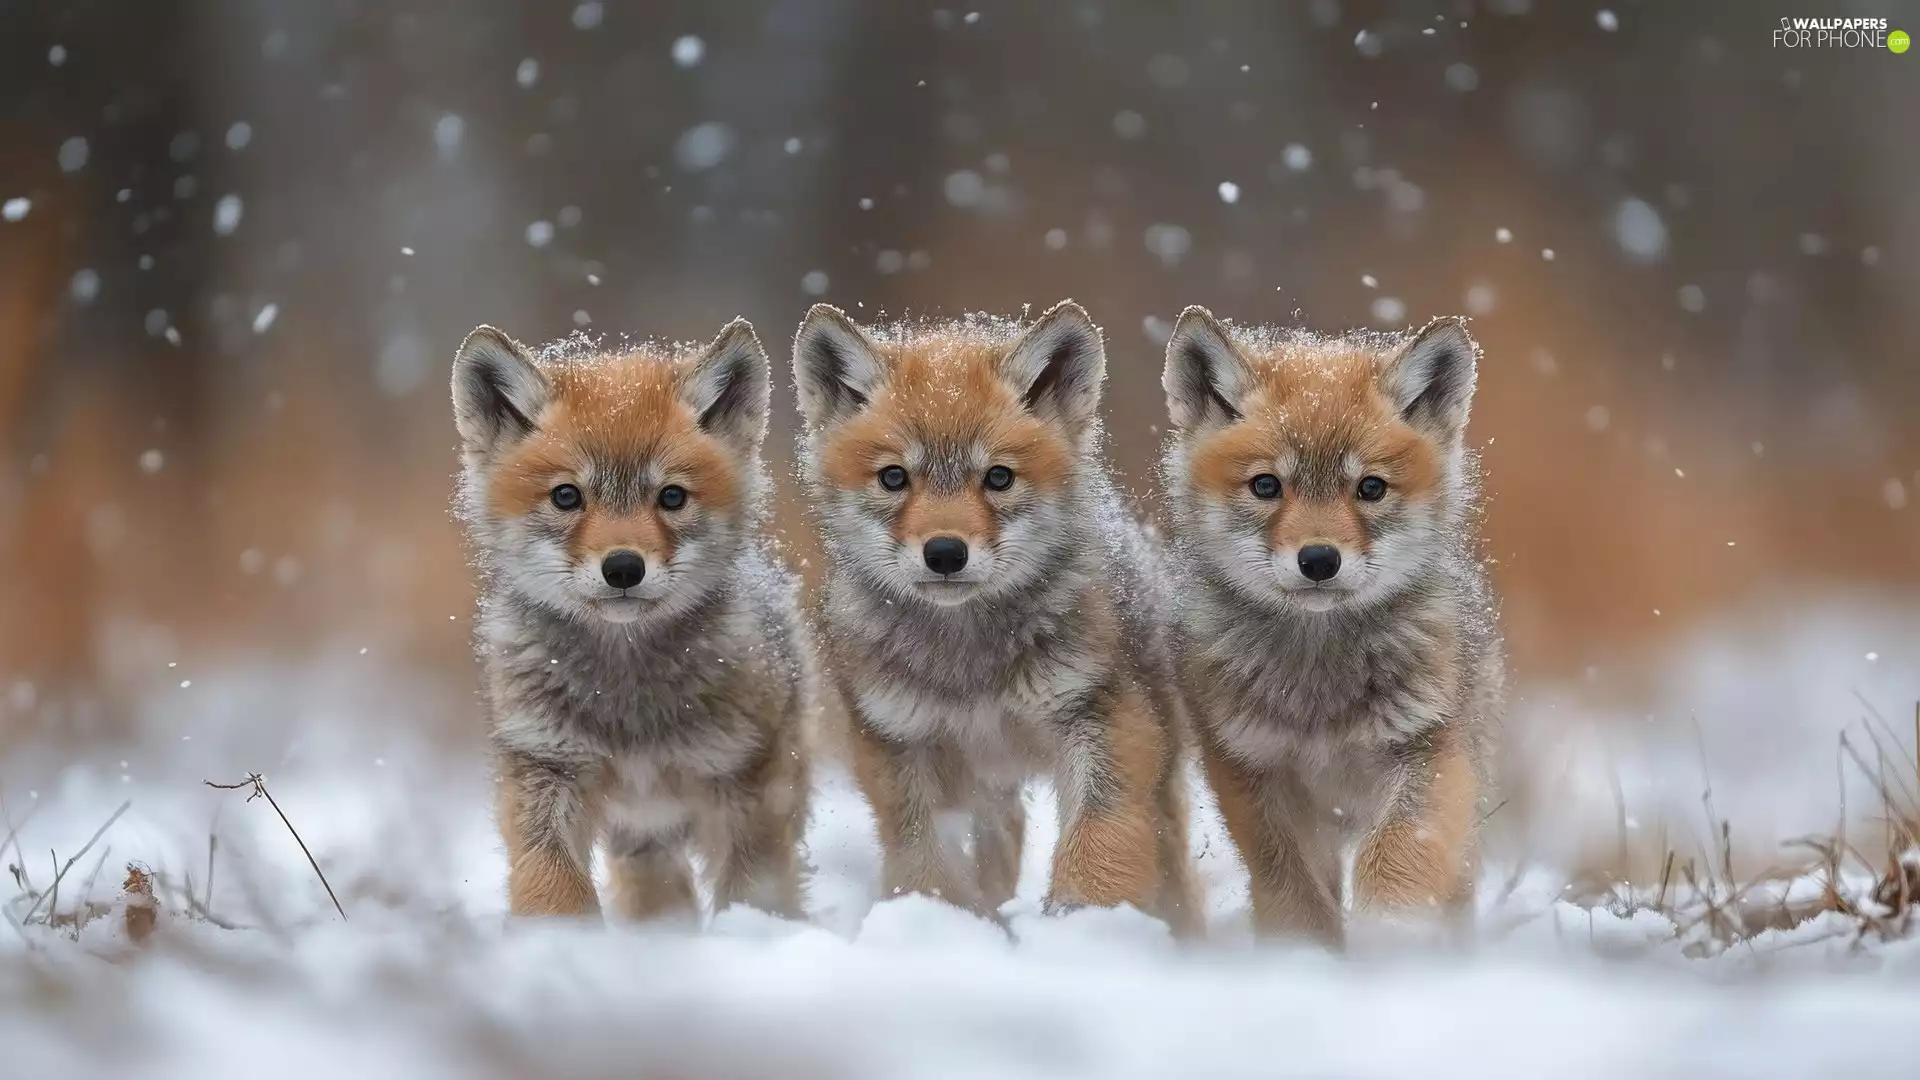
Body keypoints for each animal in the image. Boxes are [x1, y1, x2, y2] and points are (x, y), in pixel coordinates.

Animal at [451, 317, 814, 924]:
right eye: (566, 496)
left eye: (671, 497)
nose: (623, 567)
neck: (629, 706)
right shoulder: (544, 769)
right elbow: (553, 887)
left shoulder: (744, 783)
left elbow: (752, 893)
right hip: (640, 836)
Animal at [790, 300, 1203, 936]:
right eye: (893, 477)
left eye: (999, 478)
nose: (945, 553)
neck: (973, 670)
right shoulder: (899, 745)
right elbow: (923, 863)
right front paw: (942, 926)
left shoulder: (1106, 722)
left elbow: (1099, 845)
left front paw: (1082, 927)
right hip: (986, 792)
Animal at [1156, 308, 1504, 948]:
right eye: (1266, 486)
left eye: (1370, 488)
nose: (1319, 560)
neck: (1319, 691)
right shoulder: (1251, 772)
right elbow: (1293, 893)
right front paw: (1307, 958)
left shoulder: (1430, 755)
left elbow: (1394, 863)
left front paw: (1388, 943)